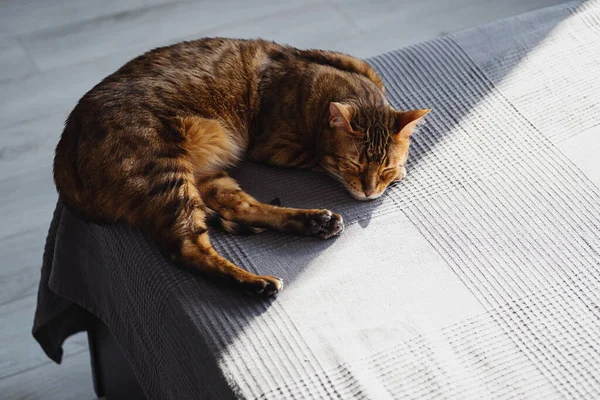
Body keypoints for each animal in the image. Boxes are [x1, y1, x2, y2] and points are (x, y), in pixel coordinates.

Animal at [52, 38, 432, 296]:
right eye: (353, 164)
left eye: (383, 168)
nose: (369, 192)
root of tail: (63, 155)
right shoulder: (276, 147)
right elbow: (316, 160)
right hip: (164, 172)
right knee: (187, 247)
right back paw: (257, 283)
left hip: (202, 175)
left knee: (241, 206)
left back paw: (316, 222)